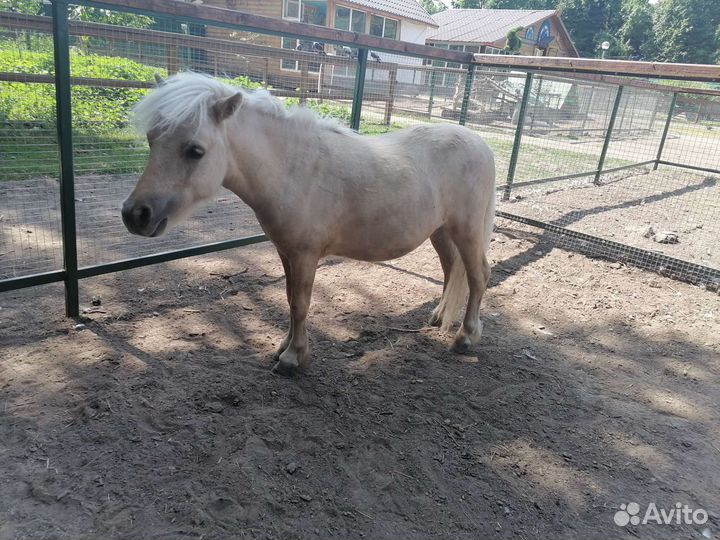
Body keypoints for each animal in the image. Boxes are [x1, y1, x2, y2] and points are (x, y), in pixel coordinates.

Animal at [122, 72, 496, 374]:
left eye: (195, 150)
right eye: (152, 139)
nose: (135, 215)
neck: (295, 169)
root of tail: (481, 143)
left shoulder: (305, 255)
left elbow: (300, 304)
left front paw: (292, 359)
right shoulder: (287, 253)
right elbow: (290, 301)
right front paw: (283, 348)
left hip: (466, 231)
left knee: (478, 275)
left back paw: (465, 337)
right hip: (442, 232)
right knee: (451, 269)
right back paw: (439, 317)